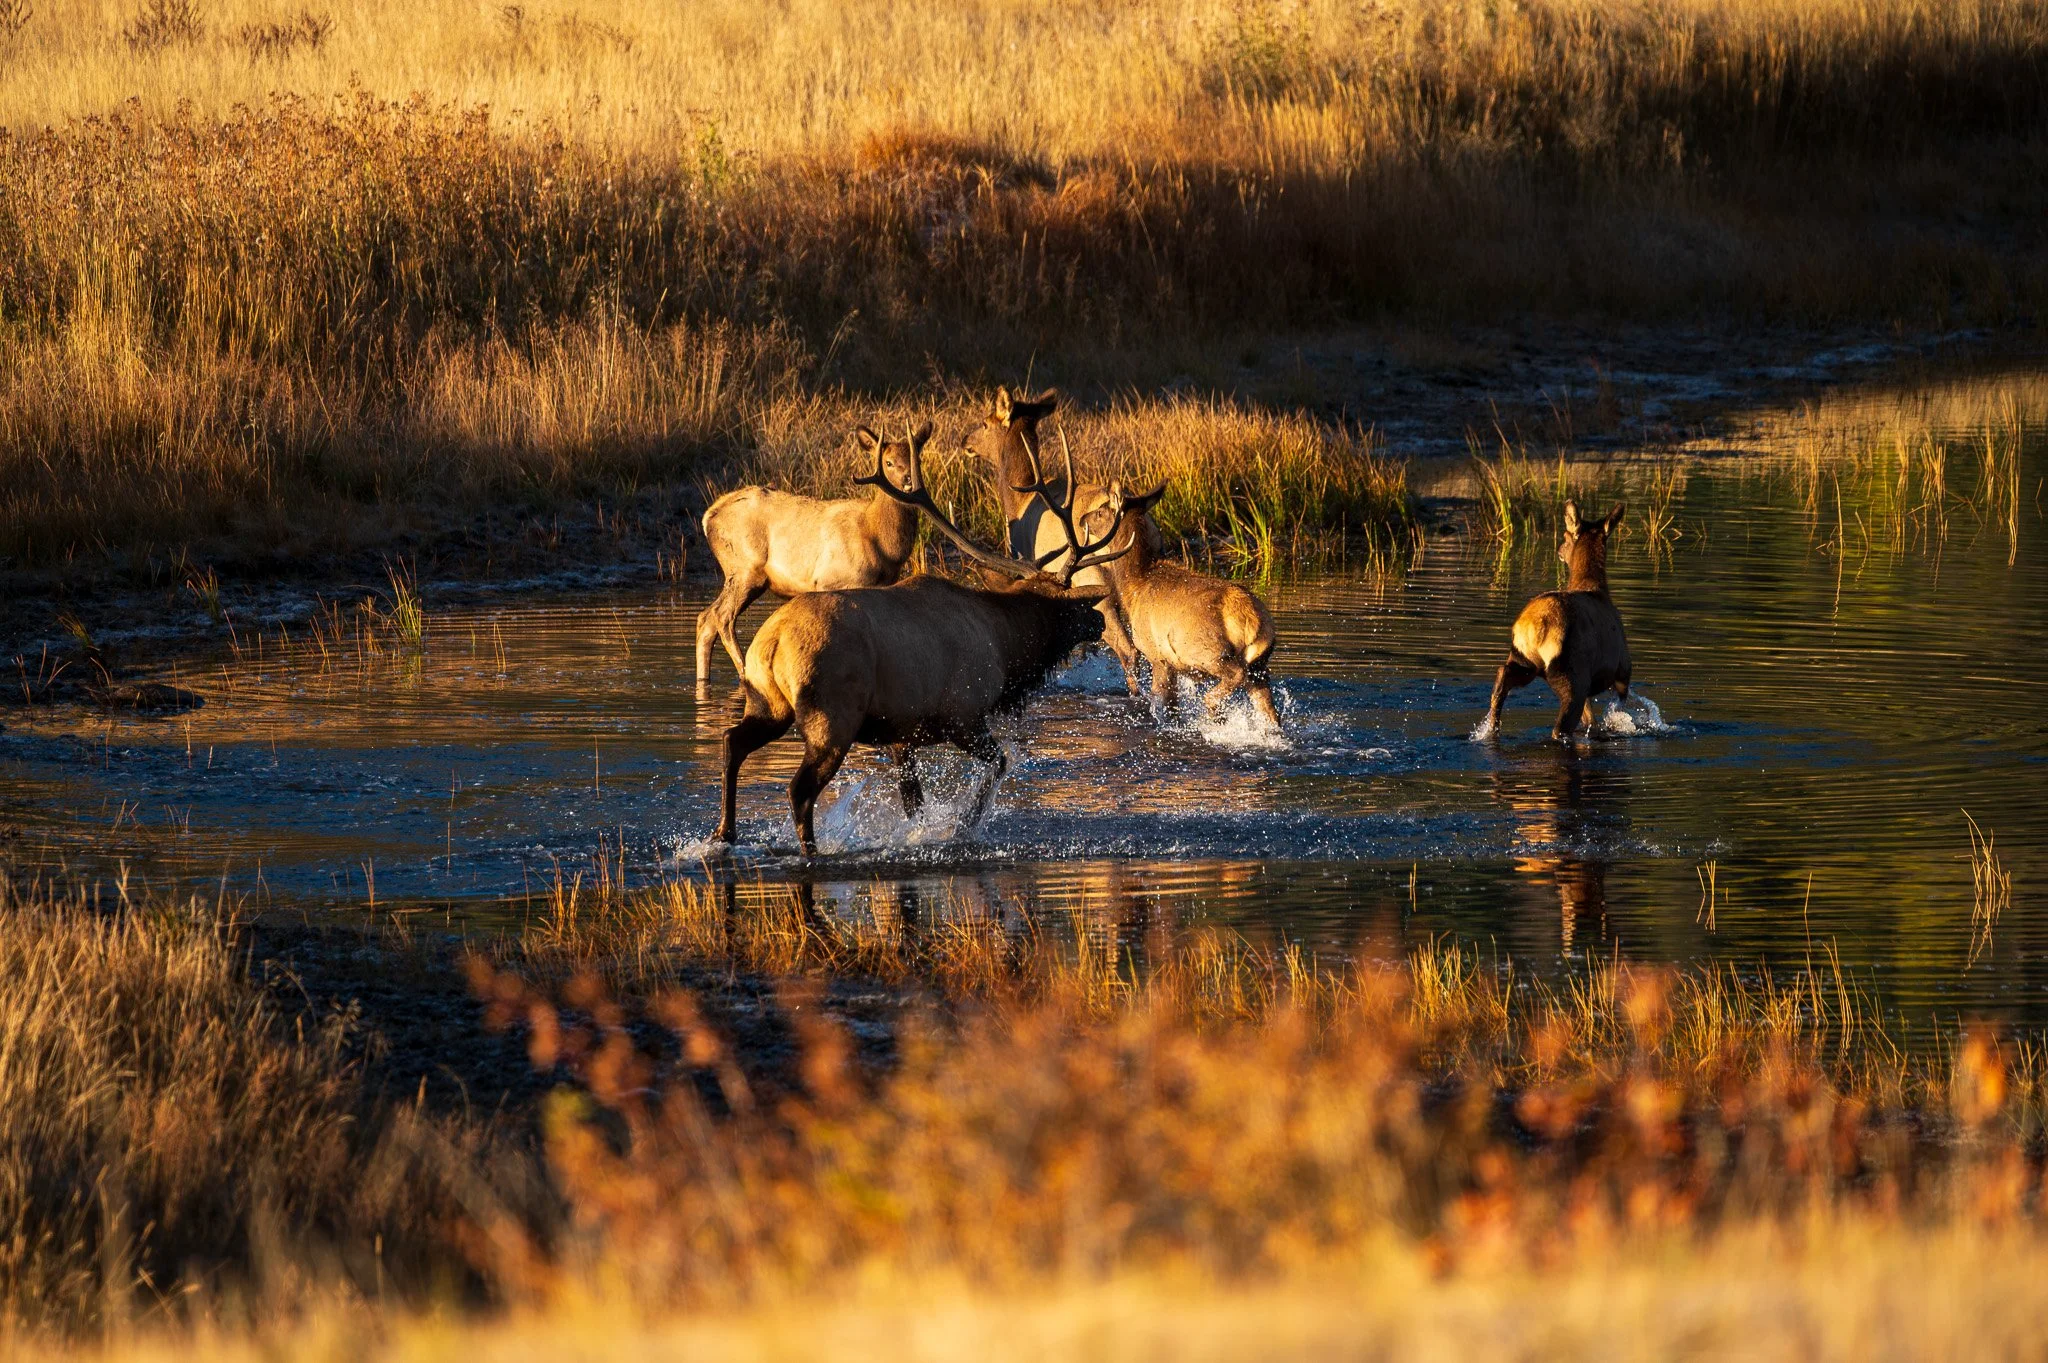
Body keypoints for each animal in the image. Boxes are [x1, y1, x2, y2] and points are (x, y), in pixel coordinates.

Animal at [694, 425, 929, 682]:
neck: (880, 544)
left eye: (916, 458)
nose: (909, 481)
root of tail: (708, 516)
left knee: (705, 618)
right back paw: (745, 674)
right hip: (745, 567)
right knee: (721, 616)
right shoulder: (830, 580)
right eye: (888, 462)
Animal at [710, 434, 1139, 857]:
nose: (1099, 620)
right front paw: (962, 826)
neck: (1006, 645)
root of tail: (773, 642)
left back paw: (724, 834)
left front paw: (921, 833)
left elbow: (913, 803)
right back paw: (812, 852)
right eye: (1071, 605)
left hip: (768, 702)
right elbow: (999, 764)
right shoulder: (963, 714)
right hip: (831, 716)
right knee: (799, 789)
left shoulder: (903, 734)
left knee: (733, 742)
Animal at [1075, 481, 1281, 728]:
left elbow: (1163, 707)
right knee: (1271, 713)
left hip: (1206, 652)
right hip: (1259, 665)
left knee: (1235, 675)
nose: (1081, 519)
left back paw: (1212, 710)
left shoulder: (1157, 655)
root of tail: (1254, 620)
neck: (1133, 586)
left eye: (1100, 511)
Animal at [1480, 500, 1632, 743]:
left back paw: (1490, 730)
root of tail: (1536, 627)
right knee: (1560, 726)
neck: (1594, 587)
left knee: (1501, 677)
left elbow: (1591, 719)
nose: (1560, 549)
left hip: (1524, 661)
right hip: (1572, 674)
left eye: (1565, 537)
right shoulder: (1622, 671)